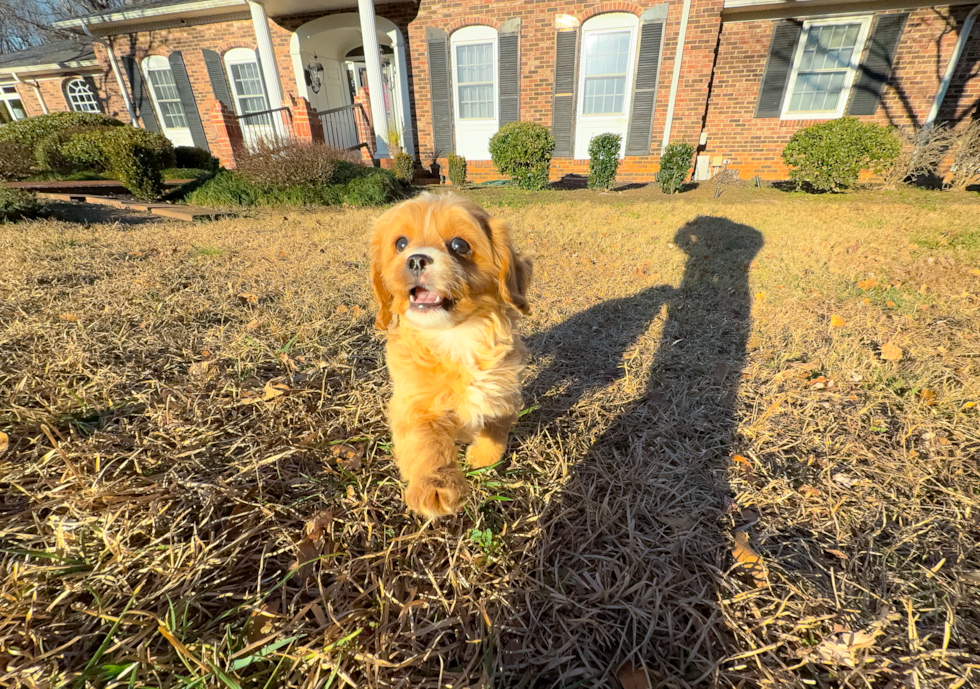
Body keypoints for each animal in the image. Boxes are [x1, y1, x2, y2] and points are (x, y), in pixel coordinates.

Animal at [370, 191, 536, 512]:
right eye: (401, 244)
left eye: (460, 245)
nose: (416, 259)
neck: (454, 335)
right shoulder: (414, 401)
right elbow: (426, 441)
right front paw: (436, 485)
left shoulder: (504, 391)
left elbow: (496, 426)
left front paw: (482, 457)